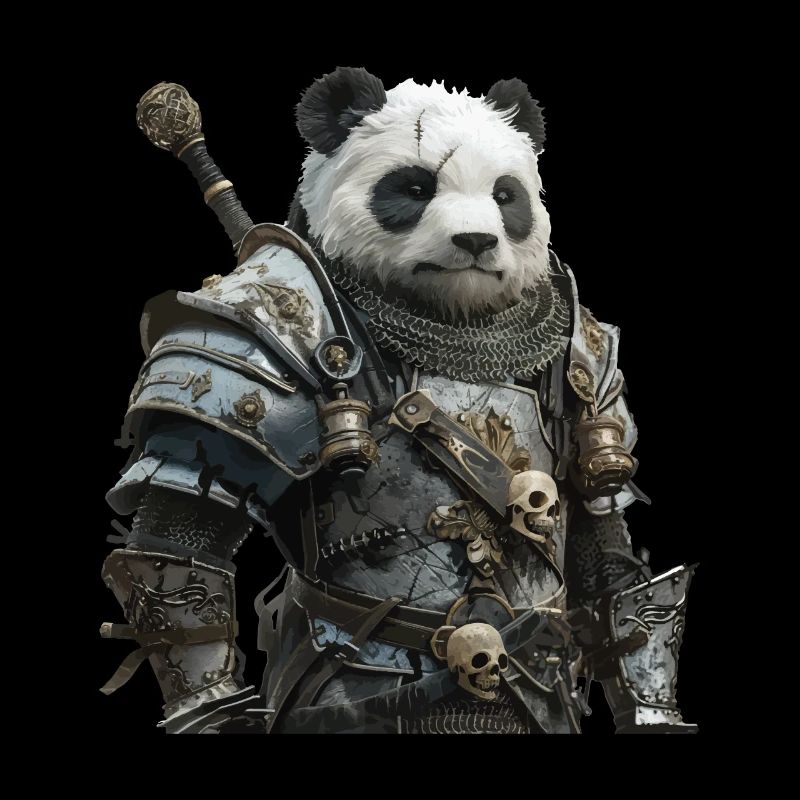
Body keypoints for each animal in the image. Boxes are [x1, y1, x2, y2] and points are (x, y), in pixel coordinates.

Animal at [102, 67, 697, 735]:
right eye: (414, 188)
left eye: (506, 196)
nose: (476, 239)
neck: (456, 321)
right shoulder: (243, 340)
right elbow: (180, 549)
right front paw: (222, 718)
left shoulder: (591, 364)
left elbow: (606, 542)